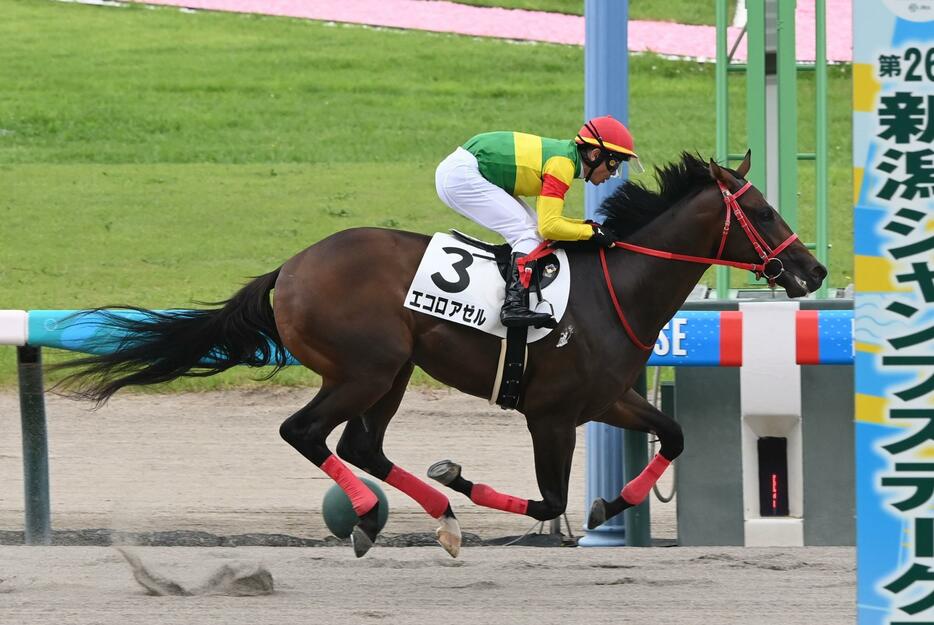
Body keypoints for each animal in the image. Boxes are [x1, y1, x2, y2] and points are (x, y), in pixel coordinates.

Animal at [60, 151, 828, 556]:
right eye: (762, 212)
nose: (814, 271)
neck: (616, 289)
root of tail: (291, 268)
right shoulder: (550, 414)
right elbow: (549, 496)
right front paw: (474, 482)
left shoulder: (605, 397)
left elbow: (672, 434)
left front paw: (610, 505)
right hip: (365, 367)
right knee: (305, 432)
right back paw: (379, 513)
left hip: (394, 370)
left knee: (361, 445)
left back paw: (434, 516)